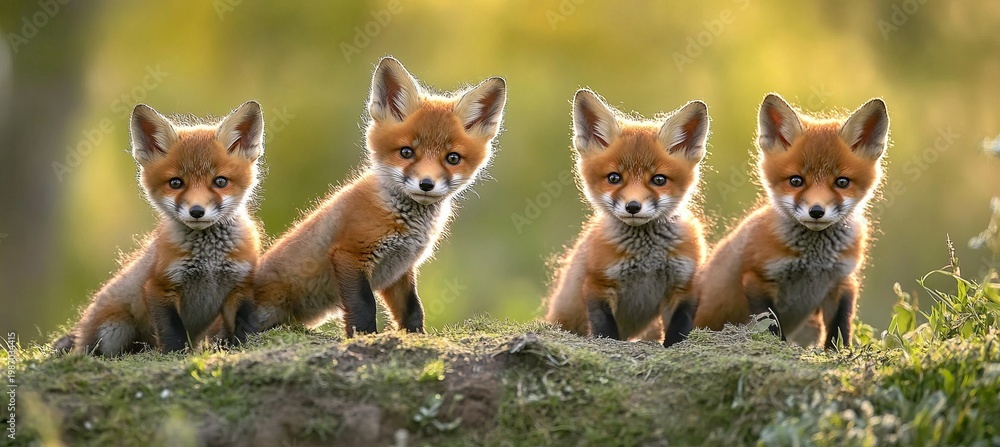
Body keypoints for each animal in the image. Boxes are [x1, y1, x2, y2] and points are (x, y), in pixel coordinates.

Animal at [53, 101, 265, 356]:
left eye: (220, 181)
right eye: (175, 183)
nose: (196, 211)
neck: (209, 261)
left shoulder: (240, 284)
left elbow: (244, 323)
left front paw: (243, 344)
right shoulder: (159, 286)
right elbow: (172, 331)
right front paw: (176, 354)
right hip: (113, 330)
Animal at [251, 57, 506, 335]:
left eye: (453, 158)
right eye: (406, 152)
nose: (426, 184)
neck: (401, 220)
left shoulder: (399, 269)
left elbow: (413, 309)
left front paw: (415, 336)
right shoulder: (350, 255)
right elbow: (364, 307)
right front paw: (364, 337)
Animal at [544, 89, 709, 347]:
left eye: (659, 180)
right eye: (614, 178)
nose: (633, 207)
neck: (647, 259)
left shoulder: (685, 285)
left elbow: (678, 331)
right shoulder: (598, 283)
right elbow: (605, 331)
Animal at [693, 93, 889, 349]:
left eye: (842, 182)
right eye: (796, 181)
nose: (816, 211)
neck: (813, 261)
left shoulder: (842, 281)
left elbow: (839, 328)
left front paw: (839, 352)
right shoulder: (757, 278)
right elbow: (772, 326)